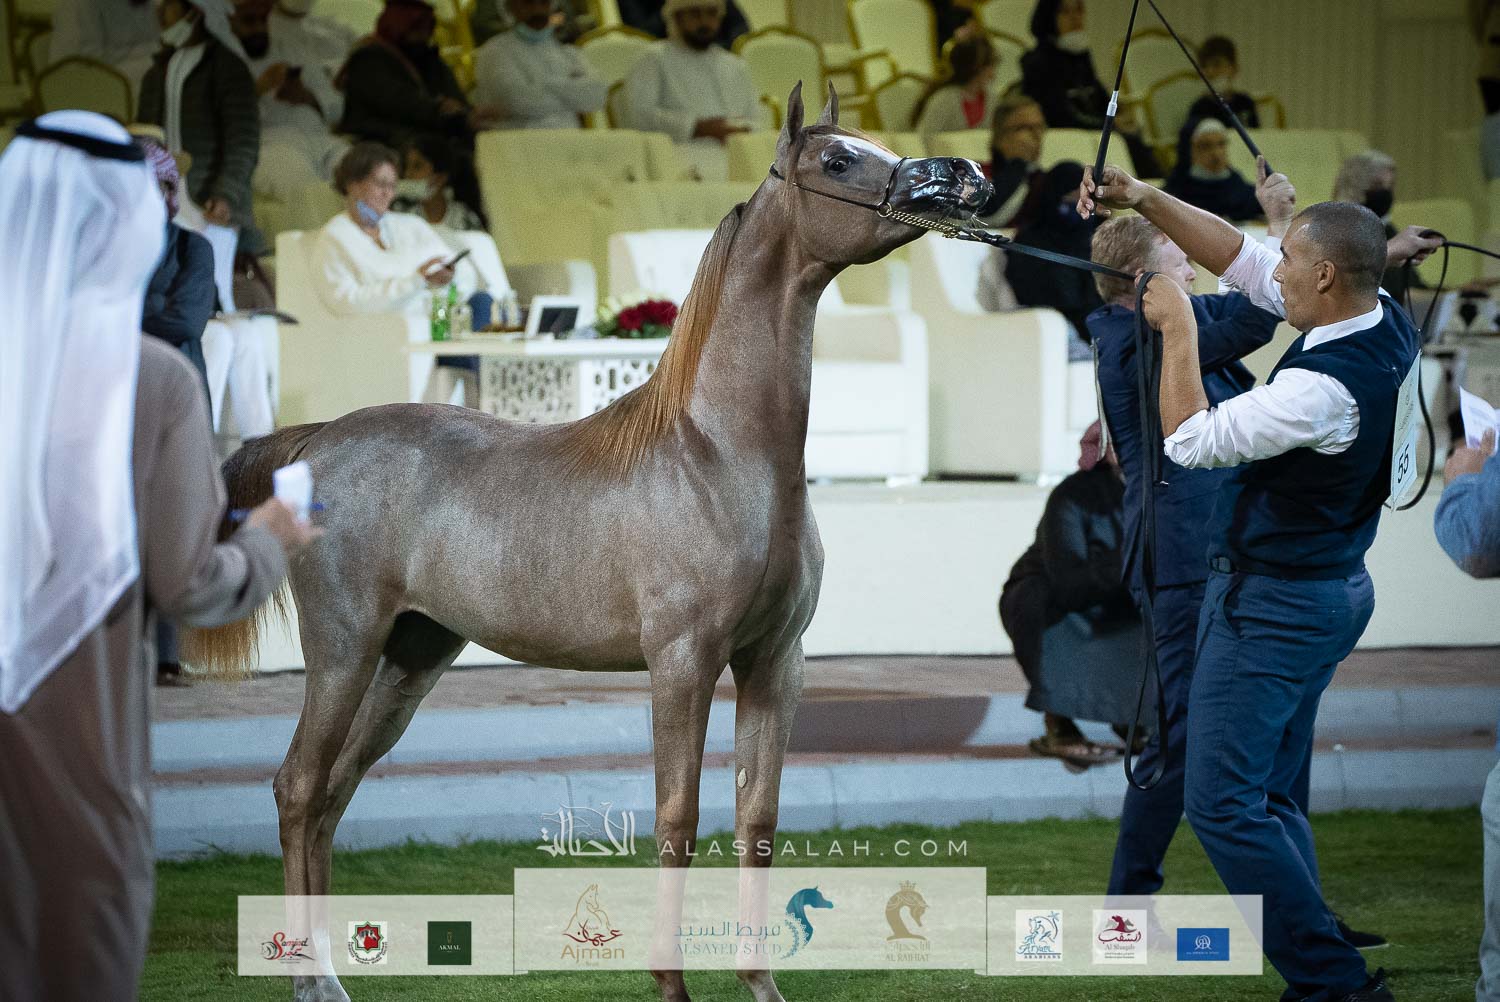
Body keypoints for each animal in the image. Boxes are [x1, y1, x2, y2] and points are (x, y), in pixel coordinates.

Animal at [188, 82, 989, 1002]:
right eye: (838, 159)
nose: (963, 177)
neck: (718, 454)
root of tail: (316, 441)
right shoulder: (682, 662)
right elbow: (677, 816)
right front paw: (671, 985)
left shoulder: (775, 663)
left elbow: (757, 818)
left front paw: (760, 985)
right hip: (345, 647)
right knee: (297, 787)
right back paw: (313, 979)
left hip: (412, 657)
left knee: (330, 795)